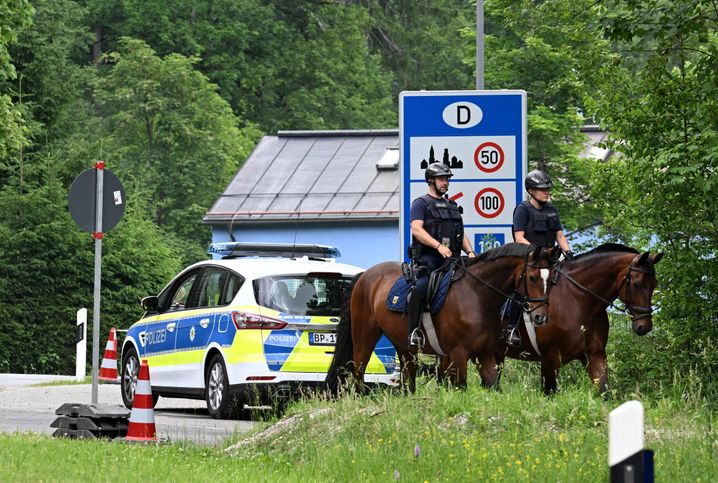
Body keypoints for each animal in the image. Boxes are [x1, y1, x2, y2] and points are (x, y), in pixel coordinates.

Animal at [328, 244, 564, 396]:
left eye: (551, 278)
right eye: (532, 277)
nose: (540, 317)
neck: (477, 294)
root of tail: (365, 275)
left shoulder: (484, 353)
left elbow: (494, 385)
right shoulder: (459, 353)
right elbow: (461, 387)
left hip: (402, 344)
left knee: (408, 372)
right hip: (365, 336)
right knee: (359, 369)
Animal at [500, 244, 664, 396]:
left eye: (654, 284)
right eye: (636, 284)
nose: (644, 326)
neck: (578, 301)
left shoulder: (595, 355)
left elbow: (604, 392)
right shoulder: (549, 359)